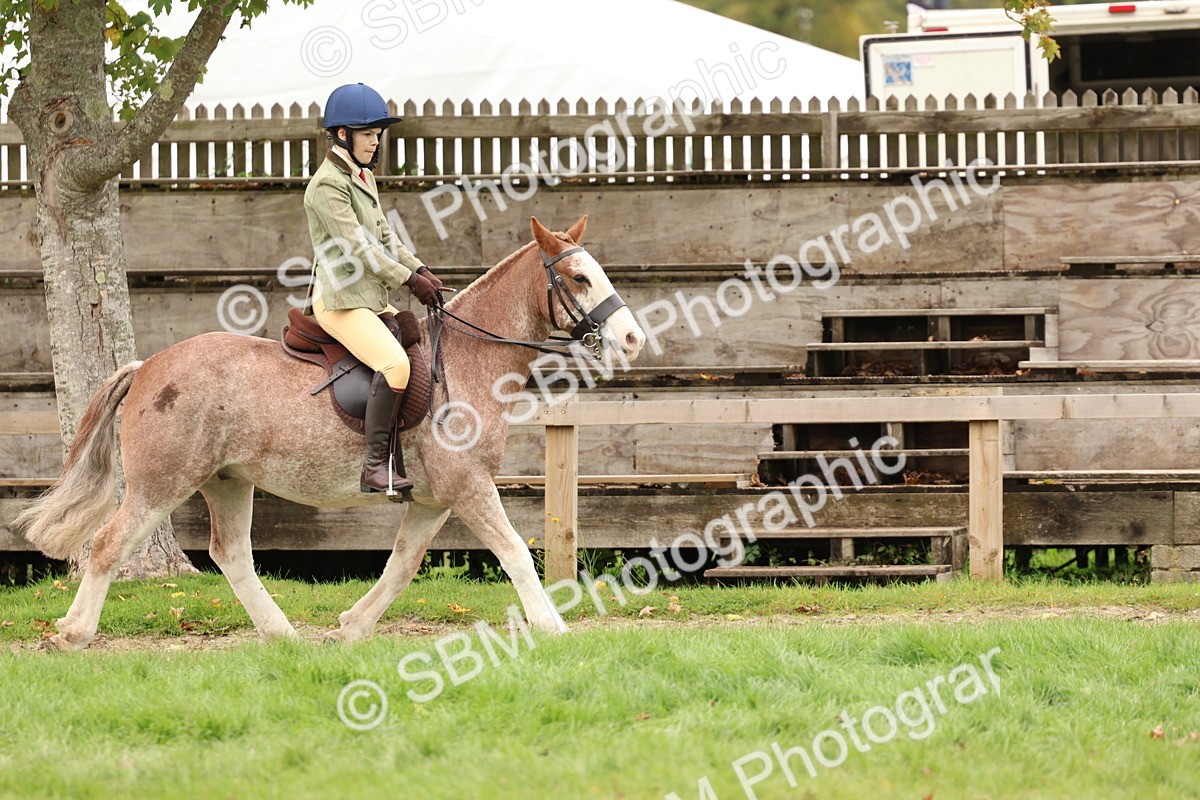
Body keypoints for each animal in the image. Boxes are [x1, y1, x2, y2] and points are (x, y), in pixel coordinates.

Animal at [16, 215, 647, 651]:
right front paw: (553, 626)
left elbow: (402, 564)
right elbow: (515, 552)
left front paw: (350, 627)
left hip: (227, 481)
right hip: (162, 484)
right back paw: (74, 633)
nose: (633, 339)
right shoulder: (468, 486)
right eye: (578, 277)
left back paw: (282, 635)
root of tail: (147, 366)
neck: (468, 357)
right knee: (108, 544)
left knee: (232, 554)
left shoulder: (435, 498)